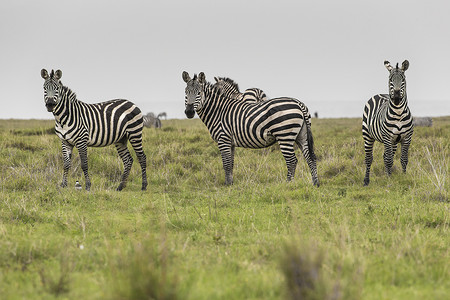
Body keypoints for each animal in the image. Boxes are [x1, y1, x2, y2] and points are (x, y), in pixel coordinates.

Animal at [181, 71, 318, 186]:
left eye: (199, 93)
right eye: (186, 92)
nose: (189, 112)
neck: (218, 111)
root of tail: (299, 103)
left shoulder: (223, 139)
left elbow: (226, 164)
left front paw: (227, 185)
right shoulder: (230, 142)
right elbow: (231, 163)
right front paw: (231, 183)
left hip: (285, 136)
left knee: (292, 161)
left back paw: (288, 184)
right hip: (302, 136)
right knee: (310, 158)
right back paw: (315, 183)